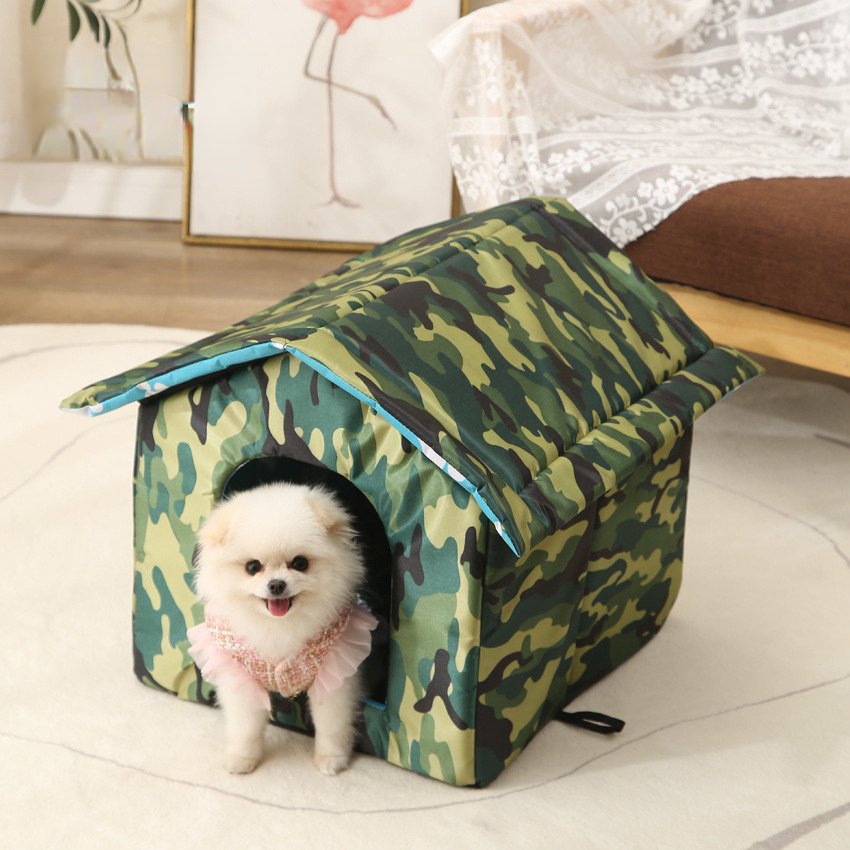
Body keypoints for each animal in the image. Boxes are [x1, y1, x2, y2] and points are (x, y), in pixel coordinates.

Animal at [188, 482, 376, 776]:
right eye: (252, 567)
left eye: (300, 563)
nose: (276, 584)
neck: (279, 625)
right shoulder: (241, 678)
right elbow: (246, 726)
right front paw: (242, 759)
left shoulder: (335, 672)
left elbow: (331, 723)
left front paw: (331, 758)